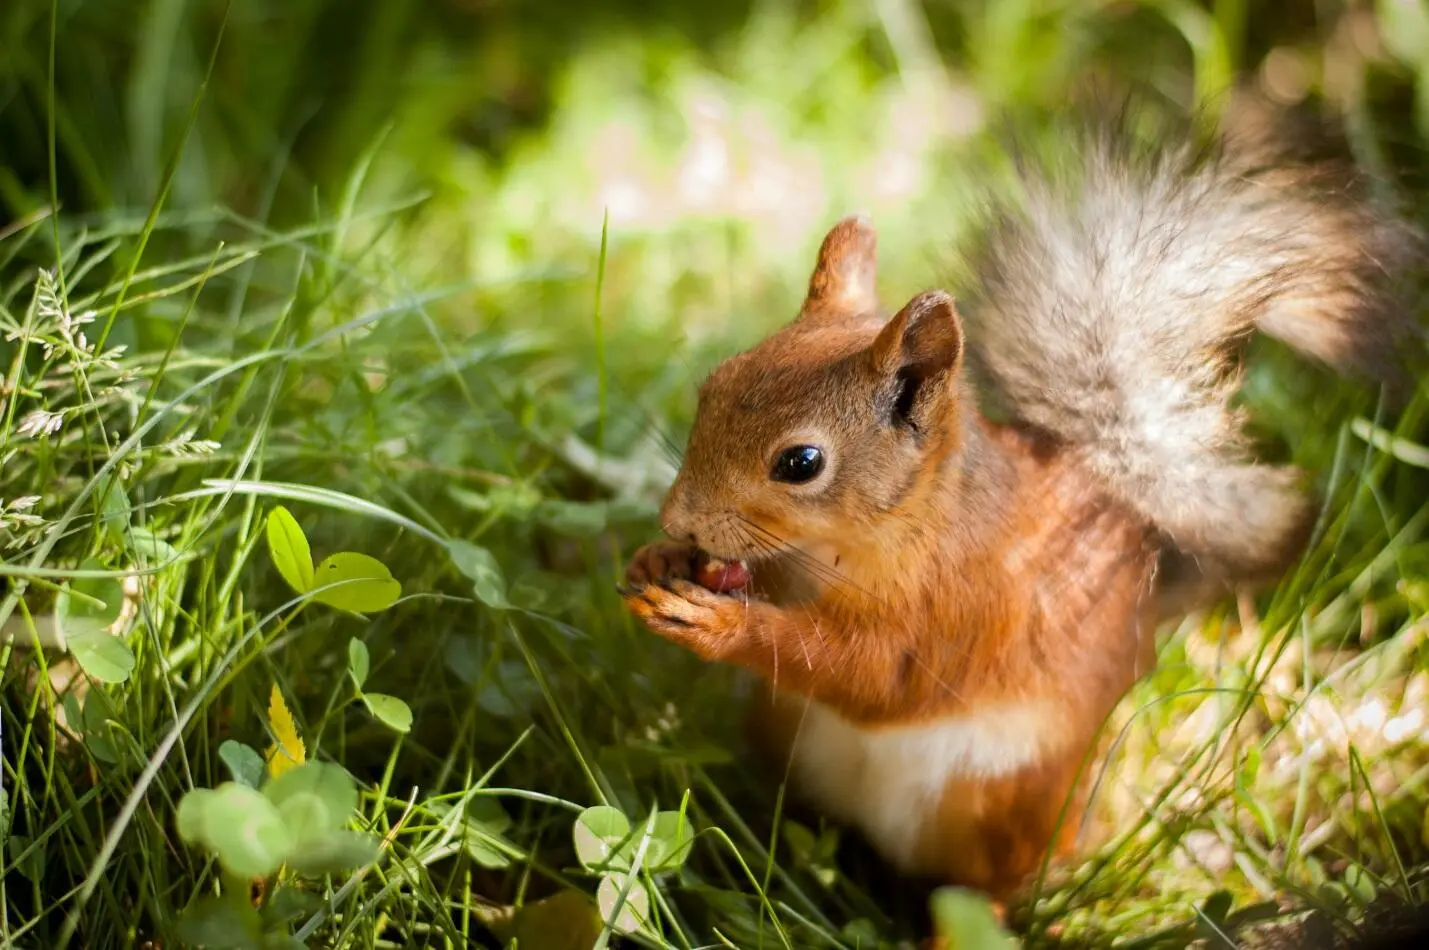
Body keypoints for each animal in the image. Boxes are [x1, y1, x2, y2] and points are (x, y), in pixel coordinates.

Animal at [620, 96, 1423, 902]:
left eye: (801, 462)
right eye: (716, 381)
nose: (676, 518)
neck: (872, 535)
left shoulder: (962, 607)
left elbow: (873, 676)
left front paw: (724, 624)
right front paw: (656, 561)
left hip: (1004, 806)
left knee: (993, 891)